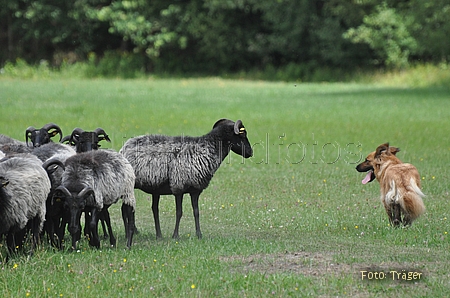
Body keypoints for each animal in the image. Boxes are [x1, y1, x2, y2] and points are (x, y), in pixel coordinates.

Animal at [119, 118, 253, 240]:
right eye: (243, 134)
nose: (251, 152)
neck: (206, 149)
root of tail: (124, 147)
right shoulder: (179, 187)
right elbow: (179, 212)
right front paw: (175, 236)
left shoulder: (195, 190)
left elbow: (196, 211)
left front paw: (199, 235)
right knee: (126, 209)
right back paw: (130, 233)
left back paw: (147, 234)